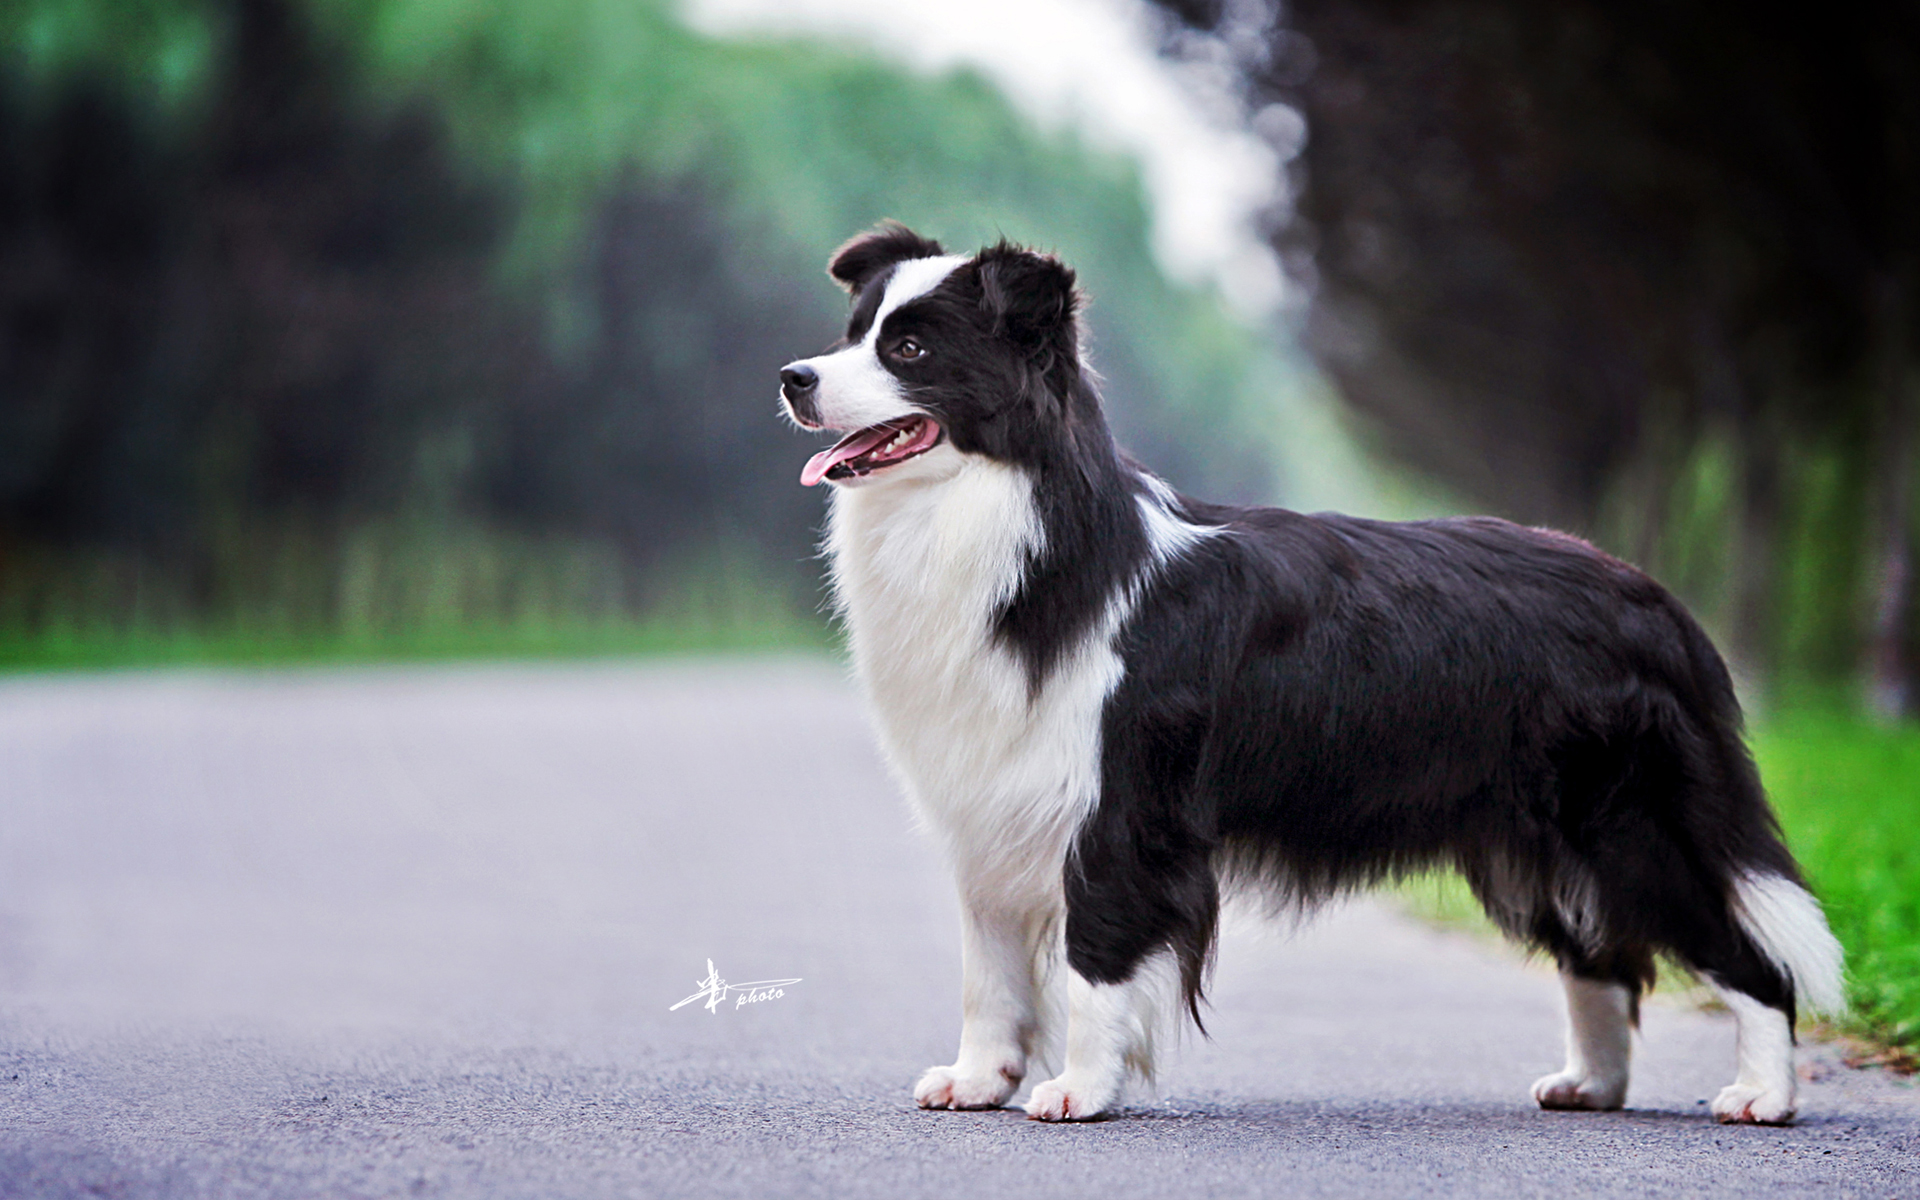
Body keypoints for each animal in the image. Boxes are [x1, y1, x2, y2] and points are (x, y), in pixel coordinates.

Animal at [775, 222, 1843, 1121]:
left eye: (910, 351)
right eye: (853, 332)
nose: (792, 377)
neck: (1010, 518)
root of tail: (1655, 601)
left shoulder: (1120, 806)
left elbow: (1095, 962)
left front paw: (1078, 1090)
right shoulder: (992, 801)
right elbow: (988, 969)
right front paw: (979, 1079)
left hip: (1628, 819)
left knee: (1746, 954)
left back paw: (1763, 1095)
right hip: (1539, 837)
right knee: (1602, 958)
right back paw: (1591, 1086)